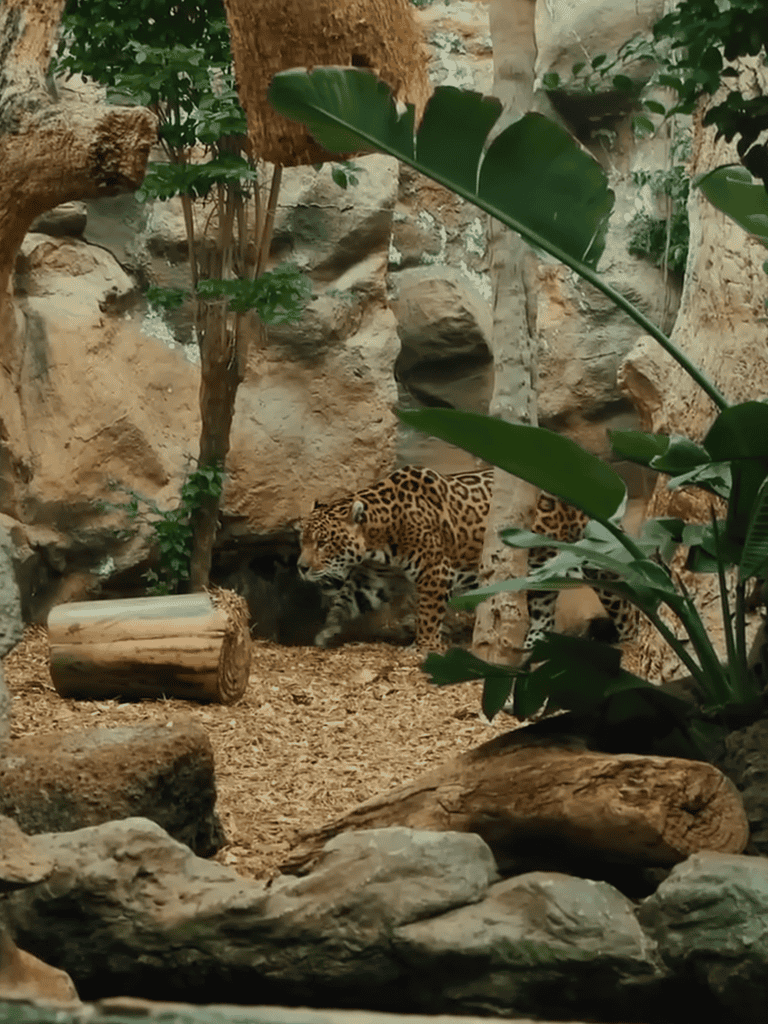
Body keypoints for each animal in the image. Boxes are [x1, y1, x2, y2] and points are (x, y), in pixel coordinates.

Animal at [297, 465, 639, 651]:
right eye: (303, 541)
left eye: (323, 543)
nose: (301, 567)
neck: (380, 533)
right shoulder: (377, 577)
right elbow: (348, 599)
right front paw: (328, 630)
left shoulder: (435, 571)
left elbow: (428, 612)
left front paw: (425, 646)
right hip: (543, 567)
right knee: (544, 610)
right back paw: (530, 645)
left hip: (599, 560)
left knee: (625, 603)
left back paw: (631, 640)